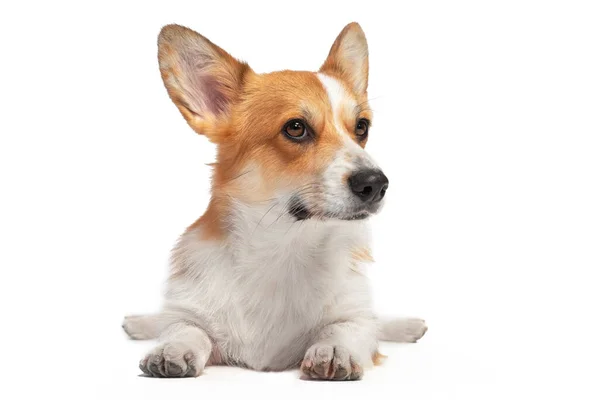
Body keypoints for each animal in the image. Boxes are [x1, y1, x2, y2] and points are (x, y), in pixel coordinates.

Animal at [123, 21, 426, 382]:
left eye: (361, 128)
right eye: (296, 128)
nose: (377, 184)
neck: (285, 248)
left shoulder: (354, 316)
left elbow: (347, 327)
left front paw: (332, 349)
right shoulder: (191, 310)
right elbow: (186, 327)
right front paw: (173, 348)